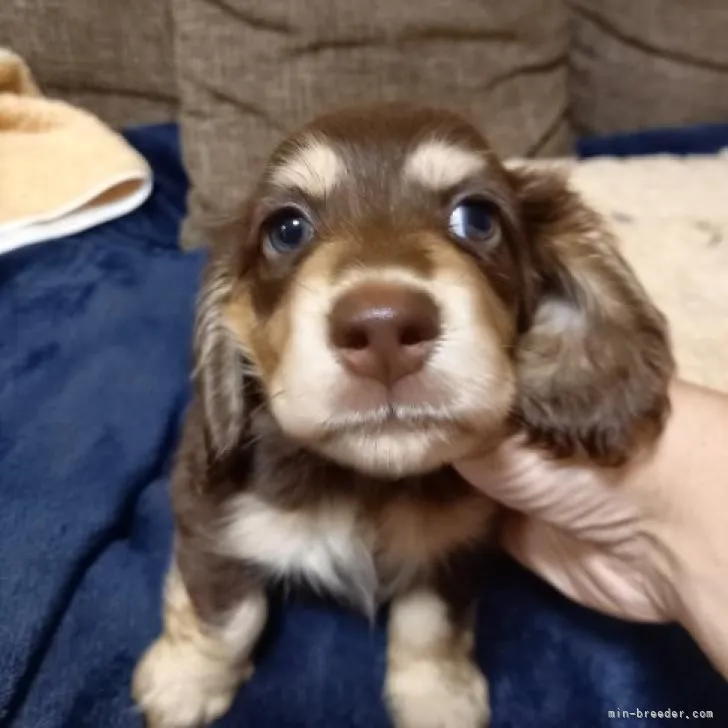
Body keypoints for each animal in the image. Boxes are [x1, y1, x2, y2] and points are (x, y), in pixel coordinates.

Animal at [129, 104, 672, 728]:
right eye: (286, 229)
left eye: (477, 219)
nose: (383, 328)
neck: (364, 483)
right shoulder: (212, 520)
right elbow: (227, 619)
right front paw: (185, 683)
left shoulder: (456, 545)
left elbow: (430, 625)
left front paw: (439, 698)